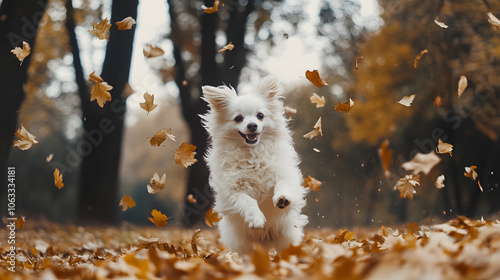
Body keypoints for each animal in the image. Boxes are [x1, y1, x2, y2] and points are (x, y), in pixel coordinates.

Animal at [200, 74, 308, 254]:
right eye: (238, 118)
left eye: (260, 116)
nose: (252, 125)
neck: (253, 153)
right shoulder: (231, 192)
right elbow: (247, 201)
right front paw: (256, 219)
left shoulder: (283, 175)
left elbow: (282, 185)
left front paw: (282, 198)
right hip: (243, 246)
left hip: (287, 238)